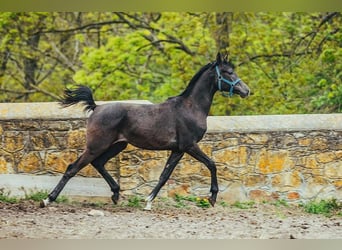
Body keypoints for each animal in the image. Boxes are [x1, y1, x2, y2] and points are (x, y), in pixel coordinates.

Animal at [40, 51, 250, 210]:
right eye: (228, 72)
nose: (247, 91)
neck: (190, 107)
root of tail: (96, 107)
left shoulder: (178, 150)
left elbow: (165, 175)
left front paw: (148, 201)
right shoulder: (189, 145)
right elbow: (212, 164)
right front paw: (212, 197)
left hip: (118, 145)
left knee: (98, 163)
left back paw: (116, 194)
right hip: (96, 146)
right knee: (72, 168)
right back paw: (48, 199)